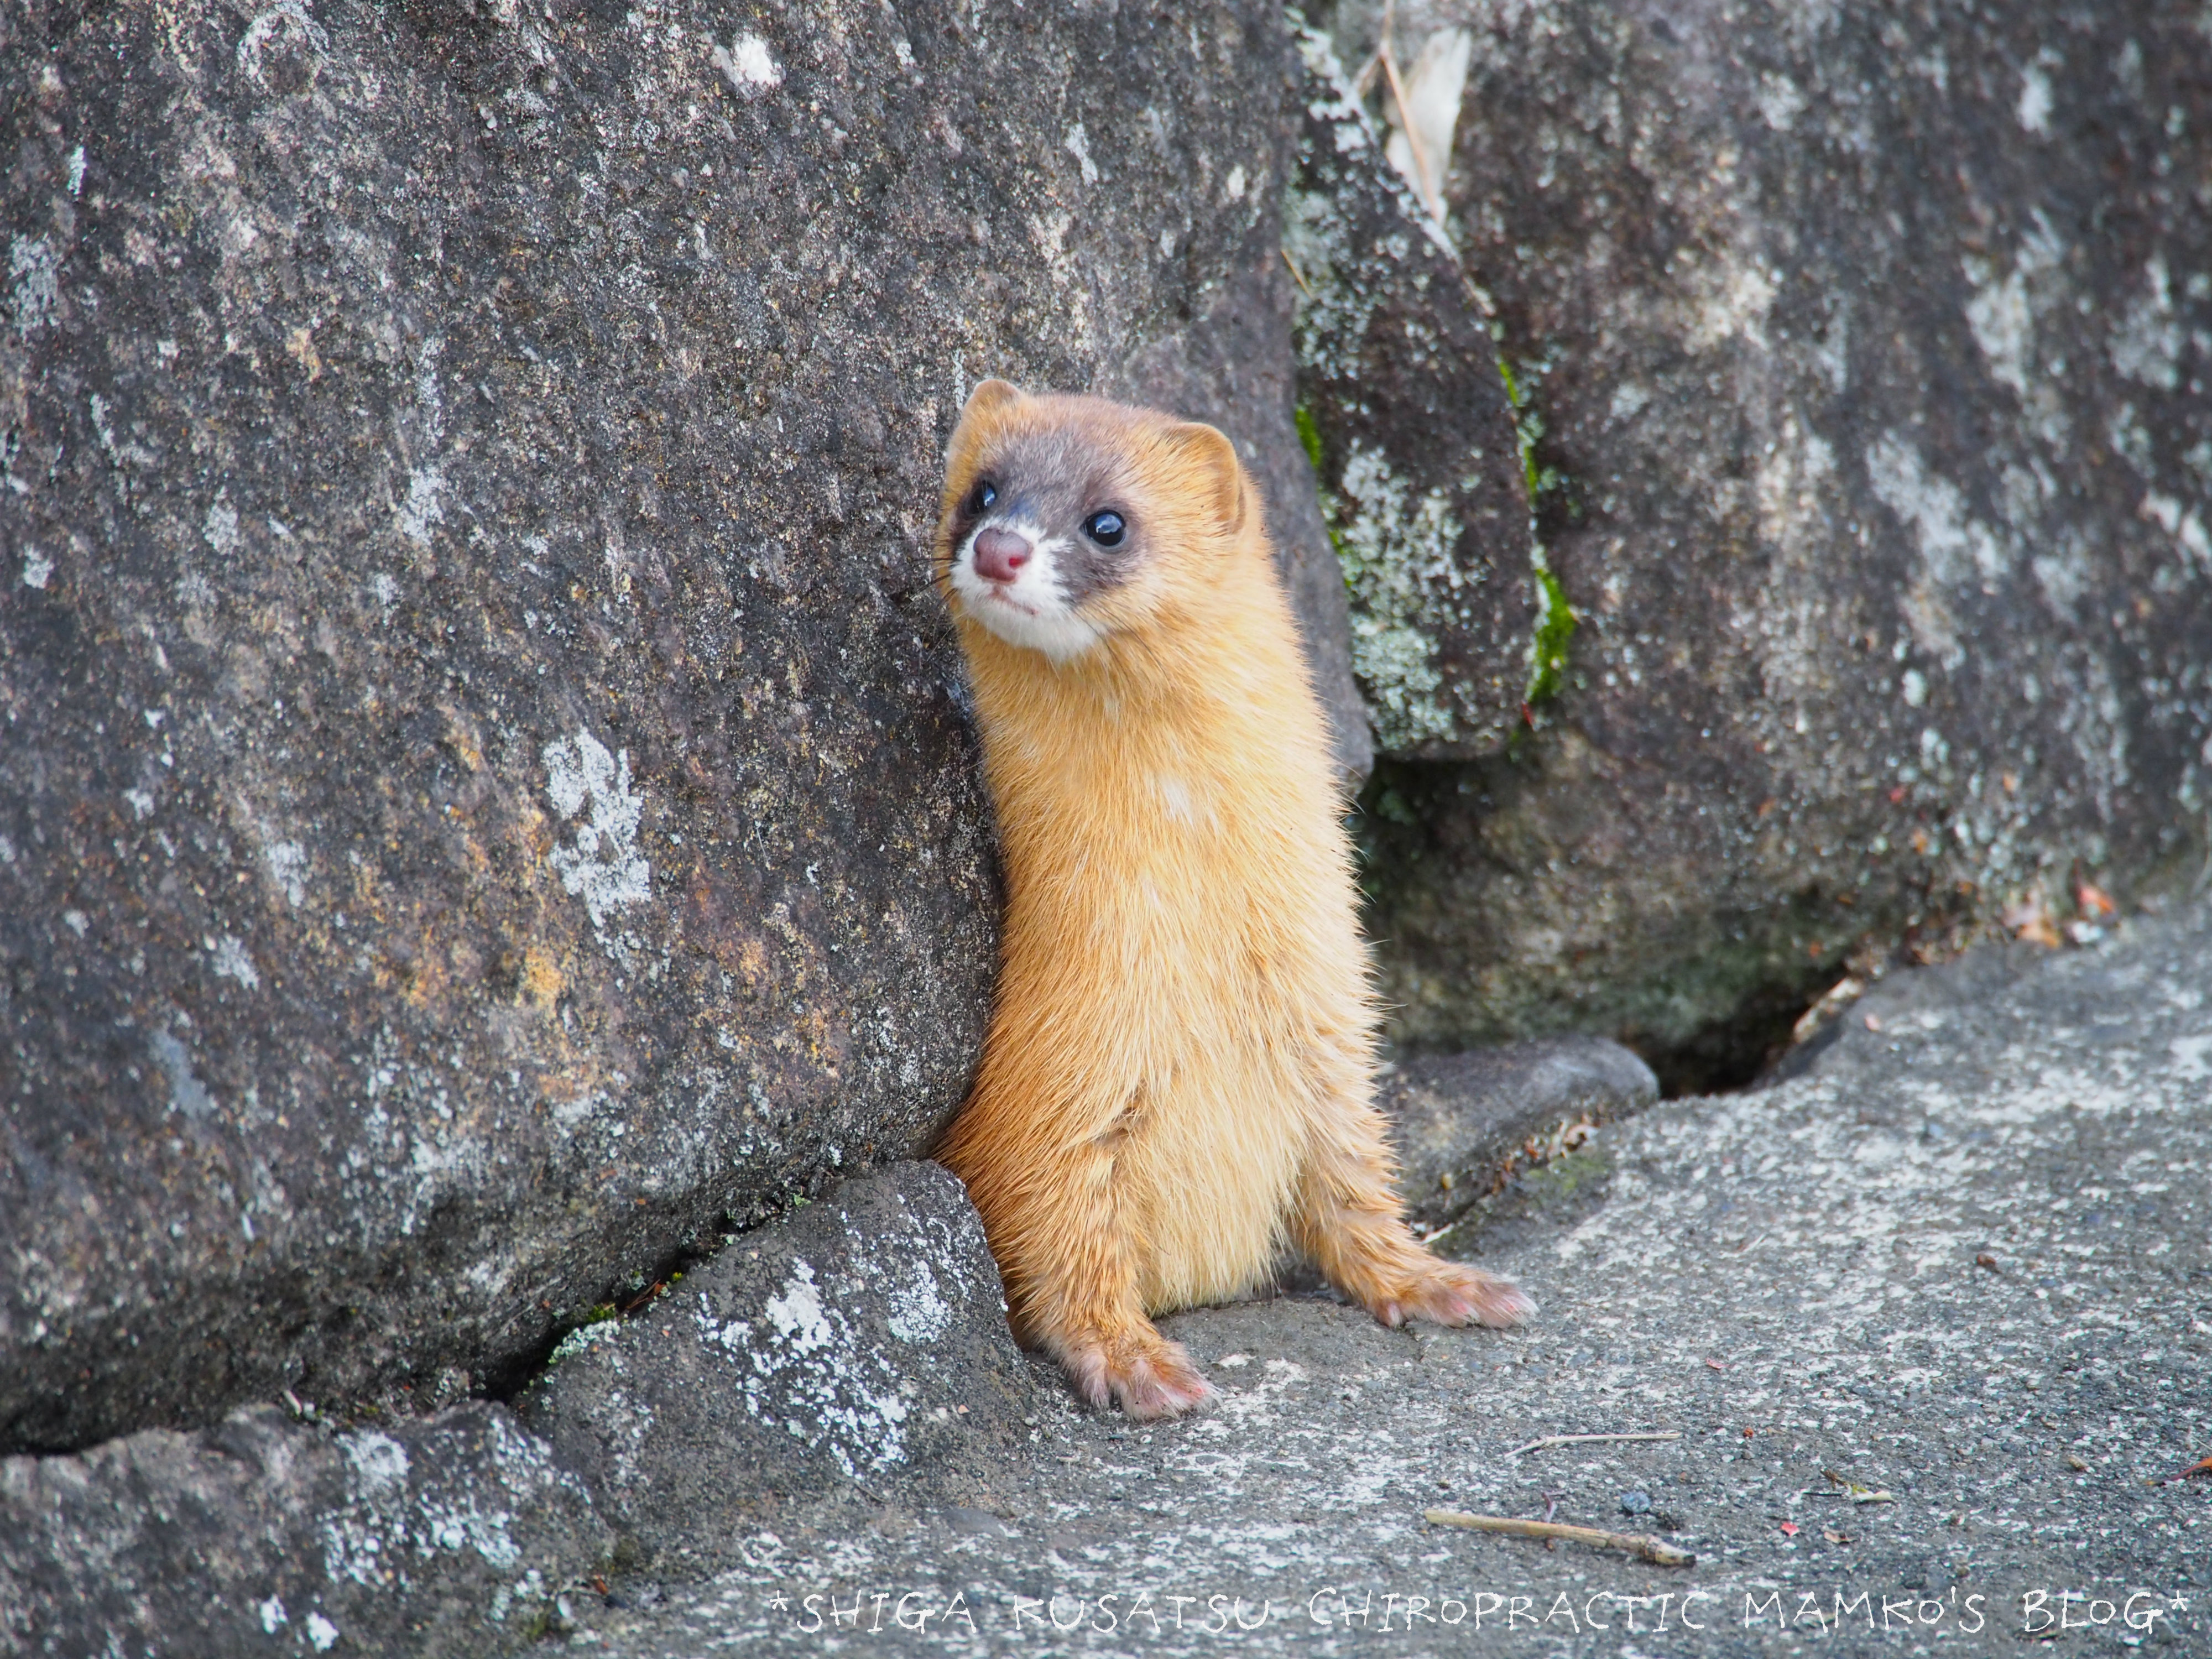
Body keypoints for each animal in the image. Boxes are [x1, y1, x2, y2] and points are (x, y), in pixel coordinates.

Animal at [925, 383, 1531, 1425]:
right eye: (984, 490)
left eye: (1109, 520)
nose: (999, 548)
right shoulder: (1054, 1074)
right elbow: (1058, 1227)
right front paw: (1134, 1360)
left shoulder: (1334, 1023)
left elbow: (1353, 1185)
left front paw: (1441, 1282)